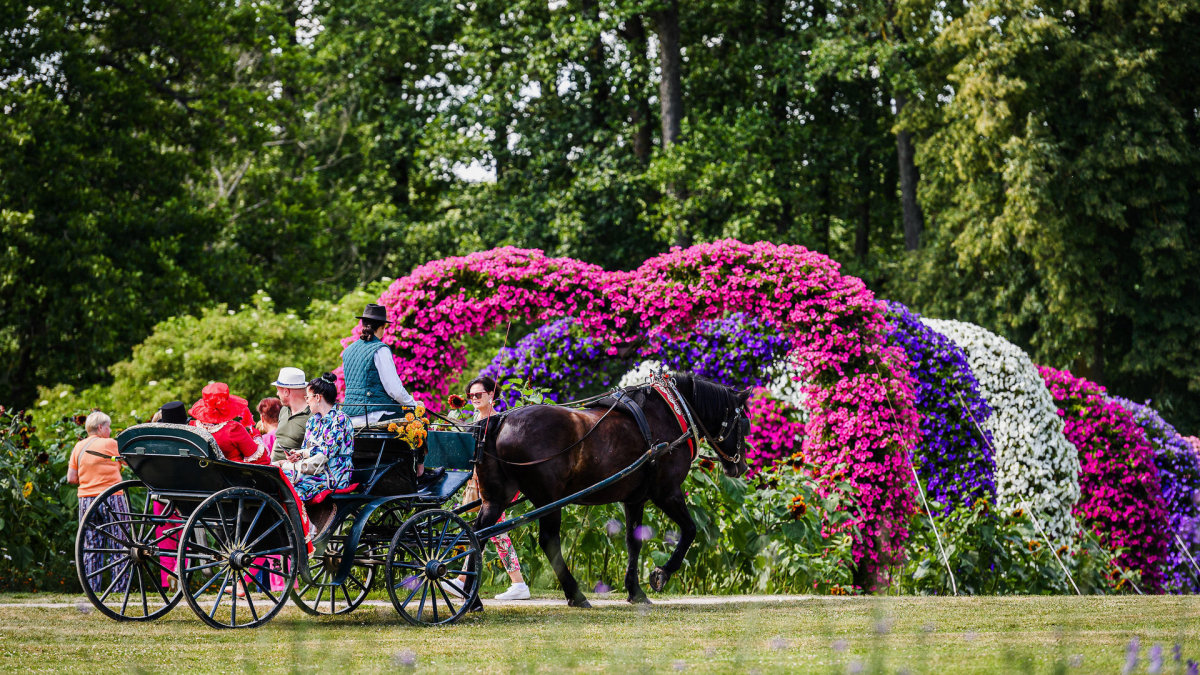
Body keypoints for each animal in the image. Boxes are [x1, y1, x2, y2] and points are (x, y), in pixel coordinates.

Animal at [470, 369, 744, 607]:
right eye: (742, 420)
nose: (739, 467)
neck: (671, 411)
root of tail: (501, 420)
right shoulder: (667, 493)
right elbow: (689, 530)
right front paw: (661, 574)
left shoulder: (635, 499)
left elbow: (634, 542)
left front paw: (635, 590)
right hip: (548, 499)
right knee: (549, 541)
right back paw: (575, 594)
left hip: (497, 498)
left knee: (477, 533)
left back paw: (473, 599)